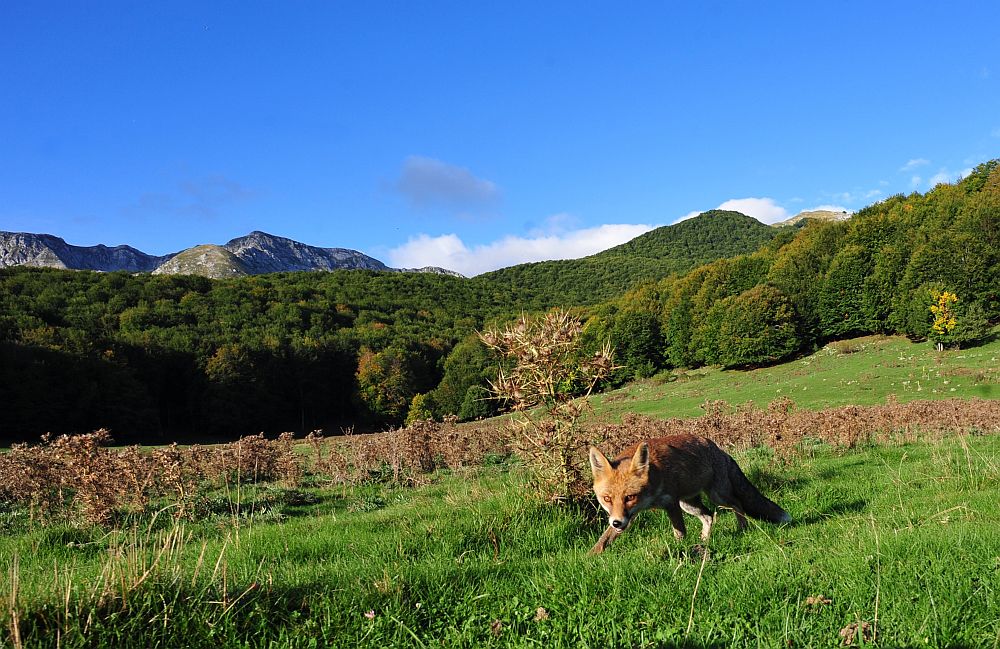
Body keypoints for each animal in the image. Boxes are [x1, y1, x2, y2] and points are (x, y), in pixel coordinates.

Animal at [584, 432, 788, 556]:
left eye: (630, 497)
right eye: (607, 499)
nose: (617, 523)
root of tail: (719, 449)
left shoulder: (671, 503)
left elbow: (679, 531)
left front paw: (679, 550)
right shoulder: (629, 515)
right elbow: (604, 540)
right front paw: (590, 558)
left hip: (717, 496)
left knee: (737, 504)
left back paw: (742, 529)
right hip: (689, 504)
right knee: (708, 516)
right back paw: (705, 540)